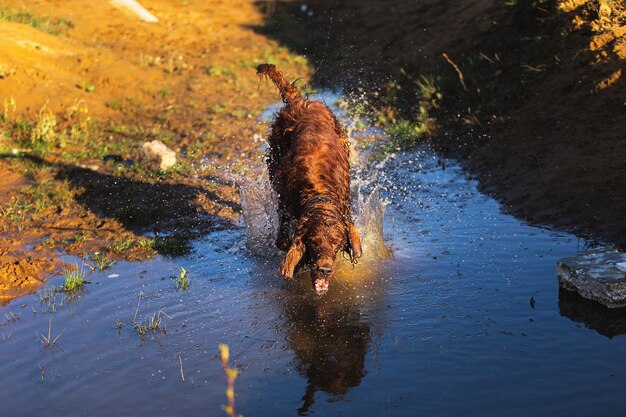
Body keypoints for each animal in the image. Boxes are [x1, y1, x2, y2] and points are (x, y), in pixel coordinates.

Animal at [255, 65, 360, 292]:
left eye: (336, 243)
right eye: (314, 243)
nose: (325, 270)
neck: (318, 192)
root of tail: (300, 102)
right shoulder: (285, 199)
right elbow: (283, 236)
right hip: (274, 160)